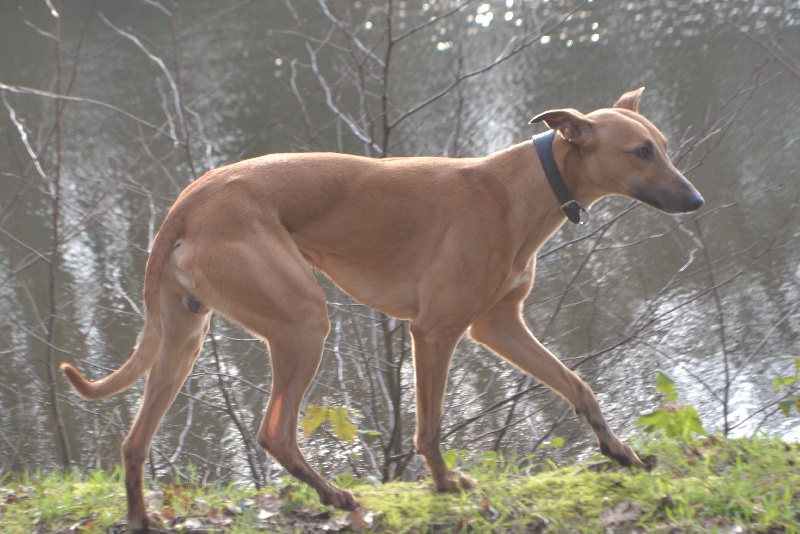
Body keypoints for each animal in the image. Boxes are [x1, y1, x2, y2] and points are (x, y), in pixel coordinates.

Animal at [61, 89, 700, 532]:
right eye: (641, 151)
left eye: (664, 146)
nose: (696, 200)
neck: (521, 188)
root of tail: (189, 200)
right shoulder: (437, 331)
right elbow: (430, 427)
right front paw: (444, 485)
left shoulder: (497, 325)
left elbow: (578, 386)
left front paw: (618, 451)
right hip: (303, 321)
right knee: (275, 432)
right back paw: (335, 496)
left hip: (184, 336)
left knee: (135, 442)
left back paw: (143, 518)